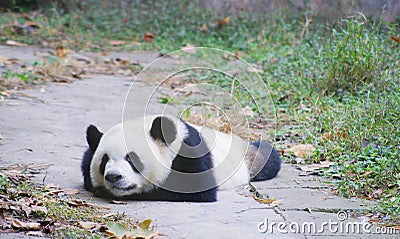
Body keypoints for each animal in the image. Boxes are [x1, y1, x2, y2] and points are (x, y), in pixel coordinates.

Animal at [82, 115, 282, 201]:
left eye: (132, 159)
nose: (113, 177)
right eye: (104, 161)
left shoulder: (190, 153)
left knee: (269, 158)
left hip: (250, 160)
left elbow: (195, 189)